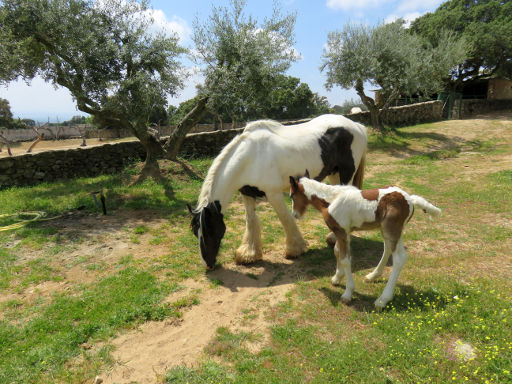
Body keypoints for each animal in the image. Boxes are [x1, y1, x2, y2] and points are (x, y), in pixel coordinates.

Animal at [188, 114, 368, 270]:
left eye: (210, 231)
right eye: (195, 232)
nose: (208, 264)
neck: (250, 158)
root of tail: (356, 125)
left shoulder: (273, 194)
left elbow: (285, 219)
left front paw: (295, 249)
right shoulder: (247, 194)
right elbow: (251, 222)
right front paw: (249, 254)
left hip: (345, 174)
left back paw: (334, 238)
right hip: (334, 174)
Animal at [288, 172, 440, 310]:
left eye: (291, 196)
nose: (295, 214)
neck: (331, 200)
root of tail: (410, 199)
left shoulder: (341, 231)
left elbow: (345, 259)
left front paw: (347, 293)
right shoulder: (342, 232)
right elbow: (337, 252)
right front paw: (337, 277)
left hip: (391, 230)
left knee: (399, 258)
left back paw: (382, 300)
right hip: (392, 231)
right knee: (388, 249)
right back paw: (372, 276)